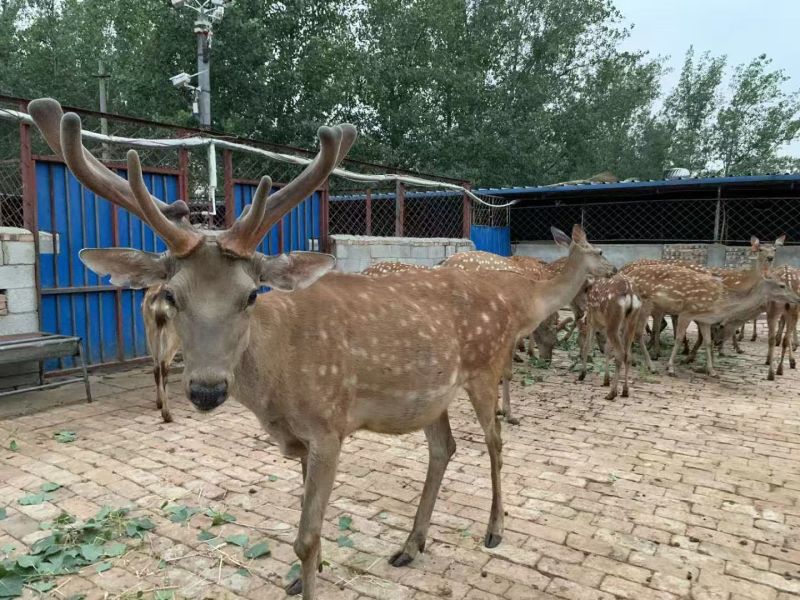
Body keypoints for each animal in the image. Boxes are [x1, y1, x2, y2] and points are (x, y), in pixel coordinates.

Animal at [30, 97, 610, 600]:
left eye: (251, 294)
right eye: (171, 295)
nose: (207, 389)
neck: (278, 386)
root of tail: (506, 300)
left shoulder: (330, 426)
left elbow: (305, 536)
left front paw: (307, 576)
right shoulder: (299, 440)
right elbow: (307, 524)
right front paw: (302, 576)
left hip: (485, 365)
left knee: (494, 440)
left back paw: (493, 529)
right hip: (430, 395)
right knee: (444, 448)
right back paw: (411, 544)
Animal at [623, 260, 800, 377]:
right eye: (782, 285)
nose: (797, 298)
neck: (720, 303)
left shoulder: (704, 319)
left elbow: (707, 342)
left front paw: (712, 370)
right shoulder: (687, 311)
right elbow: (678, 338)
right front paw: (670, 368)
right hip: (646, 304)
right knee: (637, 333)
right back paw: (650, 366)